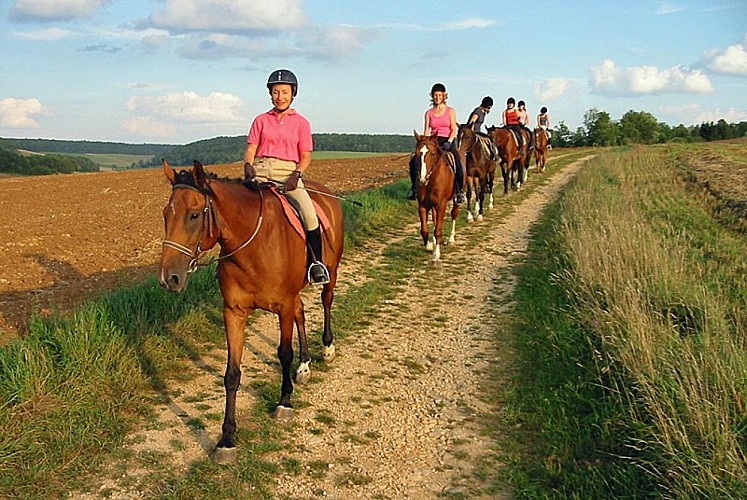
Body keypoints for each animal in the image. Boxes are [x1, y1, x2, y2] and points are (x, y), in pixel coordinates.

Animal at [160, 160, 344, 464]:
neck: (252, 246)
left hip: (330, 272)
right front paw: (226, 439)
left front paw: (284, 402)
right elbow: (232, 374)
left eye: (194, 215)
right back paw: (304, 366)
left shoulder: (283, 305)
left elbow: (284, 353)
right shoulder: (234, 312)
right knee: (302, 312)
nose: (169, 279)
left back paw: (327, 349)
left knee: (326, 300)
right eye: (166, 214)